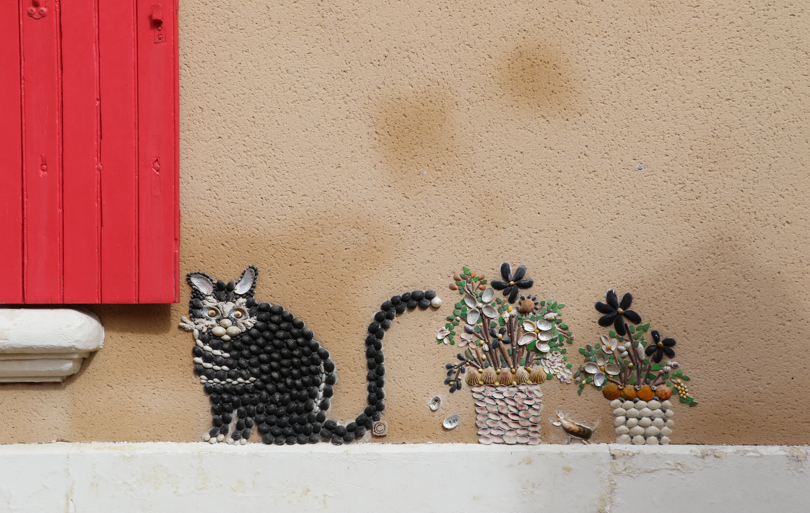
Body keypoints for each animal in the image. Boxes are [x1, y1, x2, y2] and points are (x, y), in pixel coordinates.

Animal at [179, 266, 438, 442]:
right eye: (212, 312)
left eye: (239, 314)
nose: (224, 324)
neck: (225, 344)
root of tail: (316, 422)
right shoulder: (219, 391)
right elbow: (220, 416)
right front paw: (216, 436)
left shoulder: (251, 392)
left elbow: (243, 418)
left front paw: (237, 438)